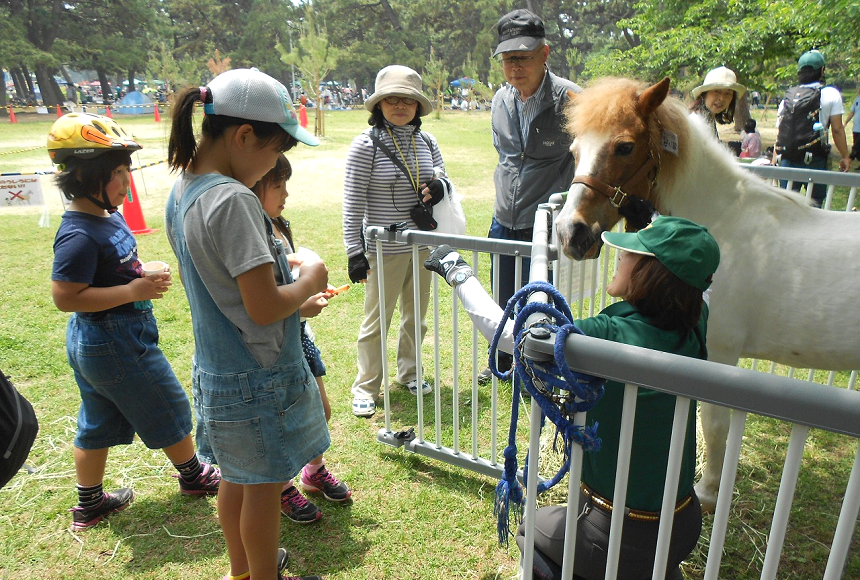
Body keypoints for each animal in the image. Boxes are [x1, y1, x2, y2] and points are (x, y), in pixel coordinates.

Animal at [552, 77, 860, 512]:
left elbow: (714, 424)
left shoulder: (720, 354)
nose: (570, 233)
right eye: (574, 151)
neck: (721, 228)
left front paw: (710, 491)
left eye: (625, 147)